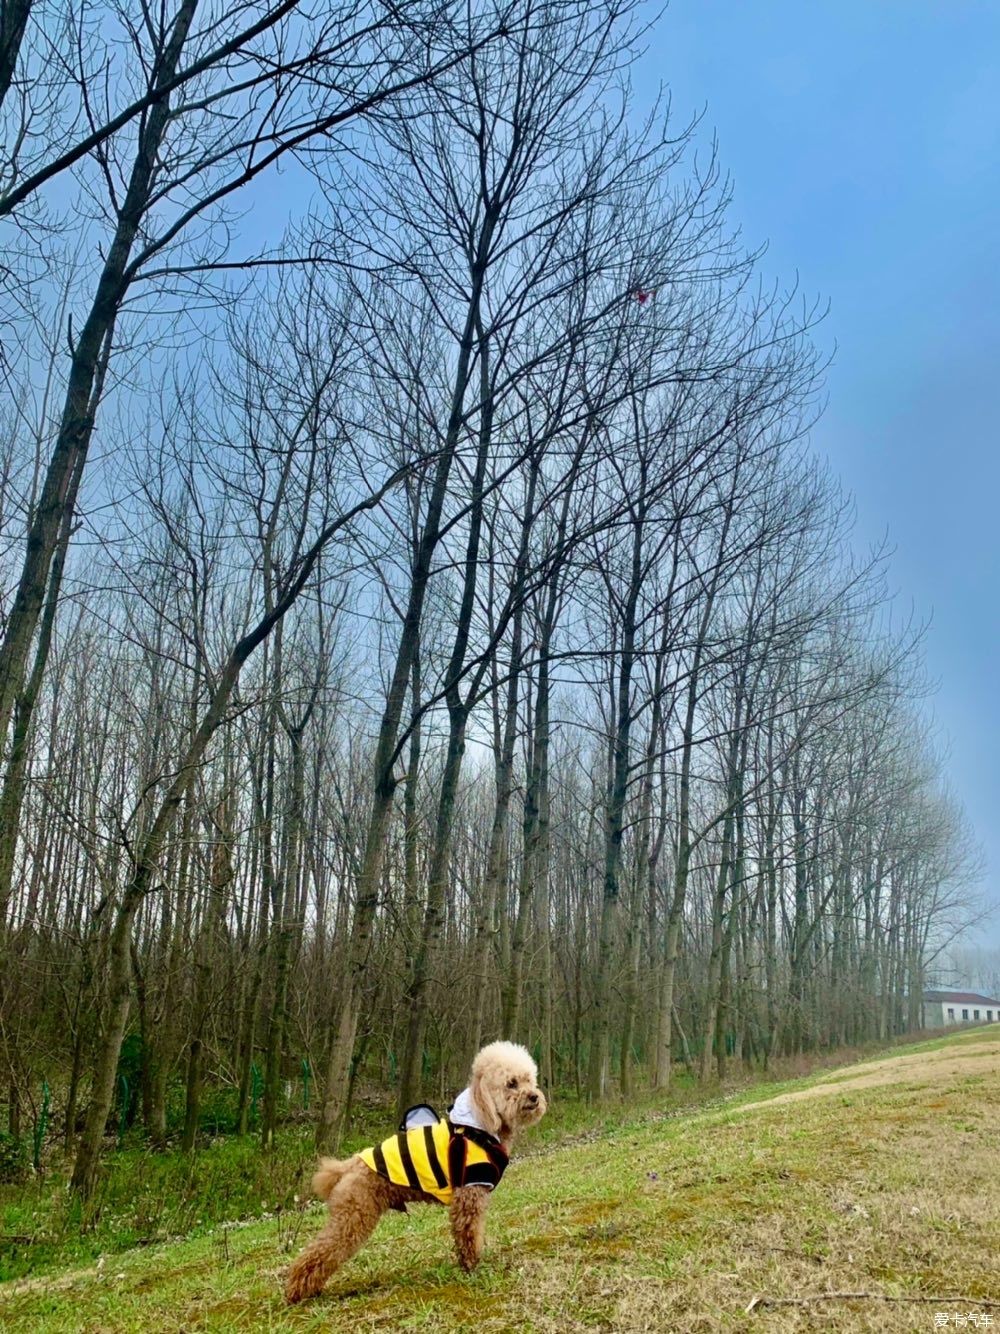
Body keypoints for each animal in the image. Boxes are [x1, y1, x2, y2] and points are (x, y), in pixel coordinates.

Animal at [282, 1040, 549, 1301]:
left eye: (529, 1079)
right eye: (511, 1083)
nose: (535, 1097)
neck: (479, 1126)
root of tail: (351, 1164)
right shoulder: (469, 1196)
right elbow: (469, 1235)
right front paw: (472, 1266)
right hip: (353, 1215)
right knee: (319, 1252)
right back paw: (297, 1291)